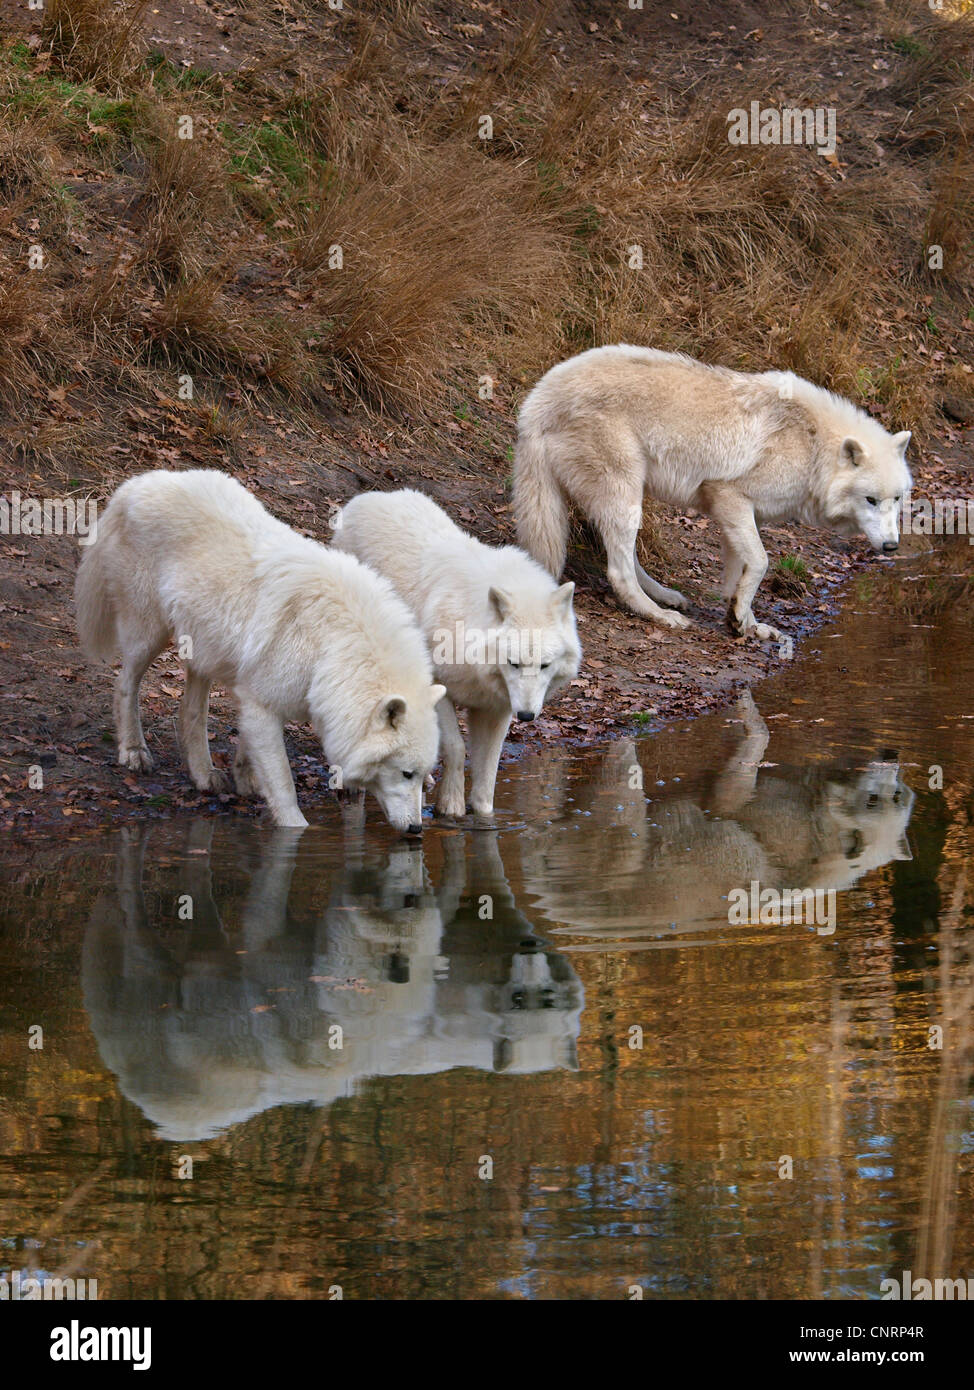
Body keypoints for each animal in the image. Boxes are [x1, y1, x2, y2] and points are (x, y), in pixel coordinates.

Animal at [76, 472, 444, 828]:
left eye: (424, 776)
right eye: (406, 773)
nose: (416, 829)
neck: (334, 644)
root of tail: (136, 483)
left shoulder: (262, 698)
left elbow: (248, 749)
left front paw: (244, 780)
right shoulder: (262, 704)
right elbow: (283, 786)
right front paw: (293, 828)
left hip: (203, 648)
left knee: (190, 712)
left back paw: (205, 775)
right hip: (148, 634)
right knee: (125, 684)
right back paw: (134, 751)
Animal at [330, 489, 580, 811]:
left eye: (544, 665)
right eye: (513, 663)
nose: (525, 716)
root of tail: (367, 496)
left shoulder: (496, 707)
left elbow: (488, 771)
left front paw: (483, 814)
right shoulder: (438, 687)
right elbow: (456, 748)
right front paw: (451, 806)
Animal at [516, 347, 911, 650]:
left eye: (896, 499)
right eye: (870, 500)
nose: (892, 546)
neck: (812, 445)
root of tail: (537, 400)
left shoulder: (740, 515)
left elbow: (740, 575)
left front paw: (746, 623)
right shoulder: (730, 496)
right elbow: (763, 562)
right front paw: (740, 619)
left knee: (625, 557)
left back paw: (666, 596)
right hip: (624, 495)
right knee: (618, 571)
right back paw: (661, 615)